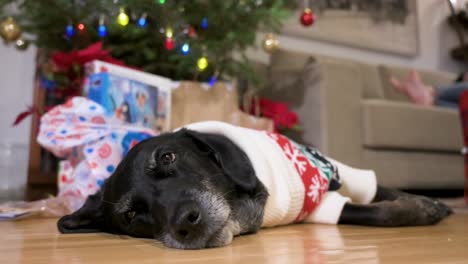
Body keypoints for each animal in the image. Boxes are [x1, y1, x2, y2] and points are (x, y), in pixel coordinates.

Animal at [56, 120, 452, 249]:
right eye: (130, 215)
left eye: (167, 157)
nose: (185, 223)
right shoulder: (321, 205)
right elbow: (374, 213)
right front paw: (422, 209)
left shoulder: (341, 171)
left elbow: (380, 192)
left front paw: (425, 202)